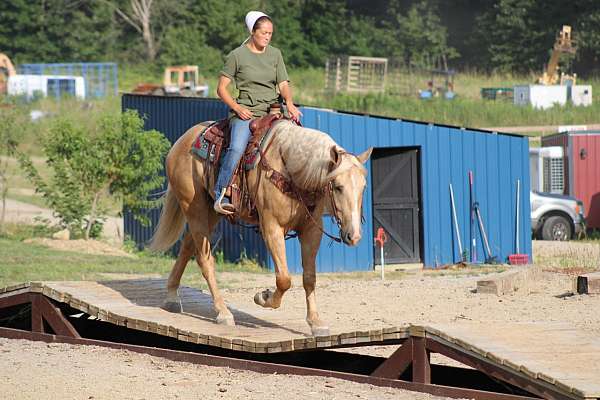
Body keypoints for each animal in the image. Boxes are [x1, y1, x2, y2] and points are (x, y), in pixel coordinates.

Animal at [149, 119, 370, 338]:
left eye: (364, 187)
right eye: (338, 187)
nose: (354, 236)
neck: (290, 169)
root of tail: (181, 142)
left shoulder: (311, 231)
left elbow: (309, 278)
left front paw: (316, 323)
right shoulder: (272, 228)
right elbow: (284, 279)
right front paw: (263, 297)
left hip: (211, 213)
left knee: (188, 246)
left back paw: (172, 297)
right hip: (194, 208)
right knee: (204, 259)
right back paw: (223, 312)